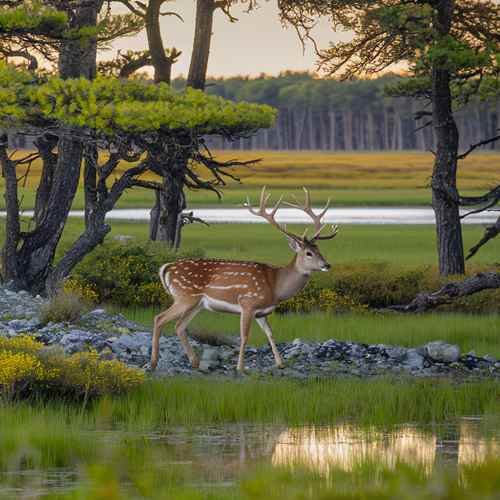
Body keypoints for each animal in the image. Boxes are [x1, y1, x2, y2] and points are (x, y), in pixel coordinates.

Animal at [150, 187, 338, 372]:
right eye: (308, 253)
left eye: (319, 249)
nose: (327, 264)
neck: (275, 286)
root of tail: (167, 267)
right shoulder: (248, 303)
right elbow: (245, 335)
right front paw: (240, 367)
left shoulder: (262, 312)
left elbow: (270, 333)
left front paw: (280, 363)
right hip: (185, 296)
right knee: (160, 318)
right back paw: (154, 362)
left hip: (197, 303)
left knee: (179, 326)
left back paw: (195, 362)